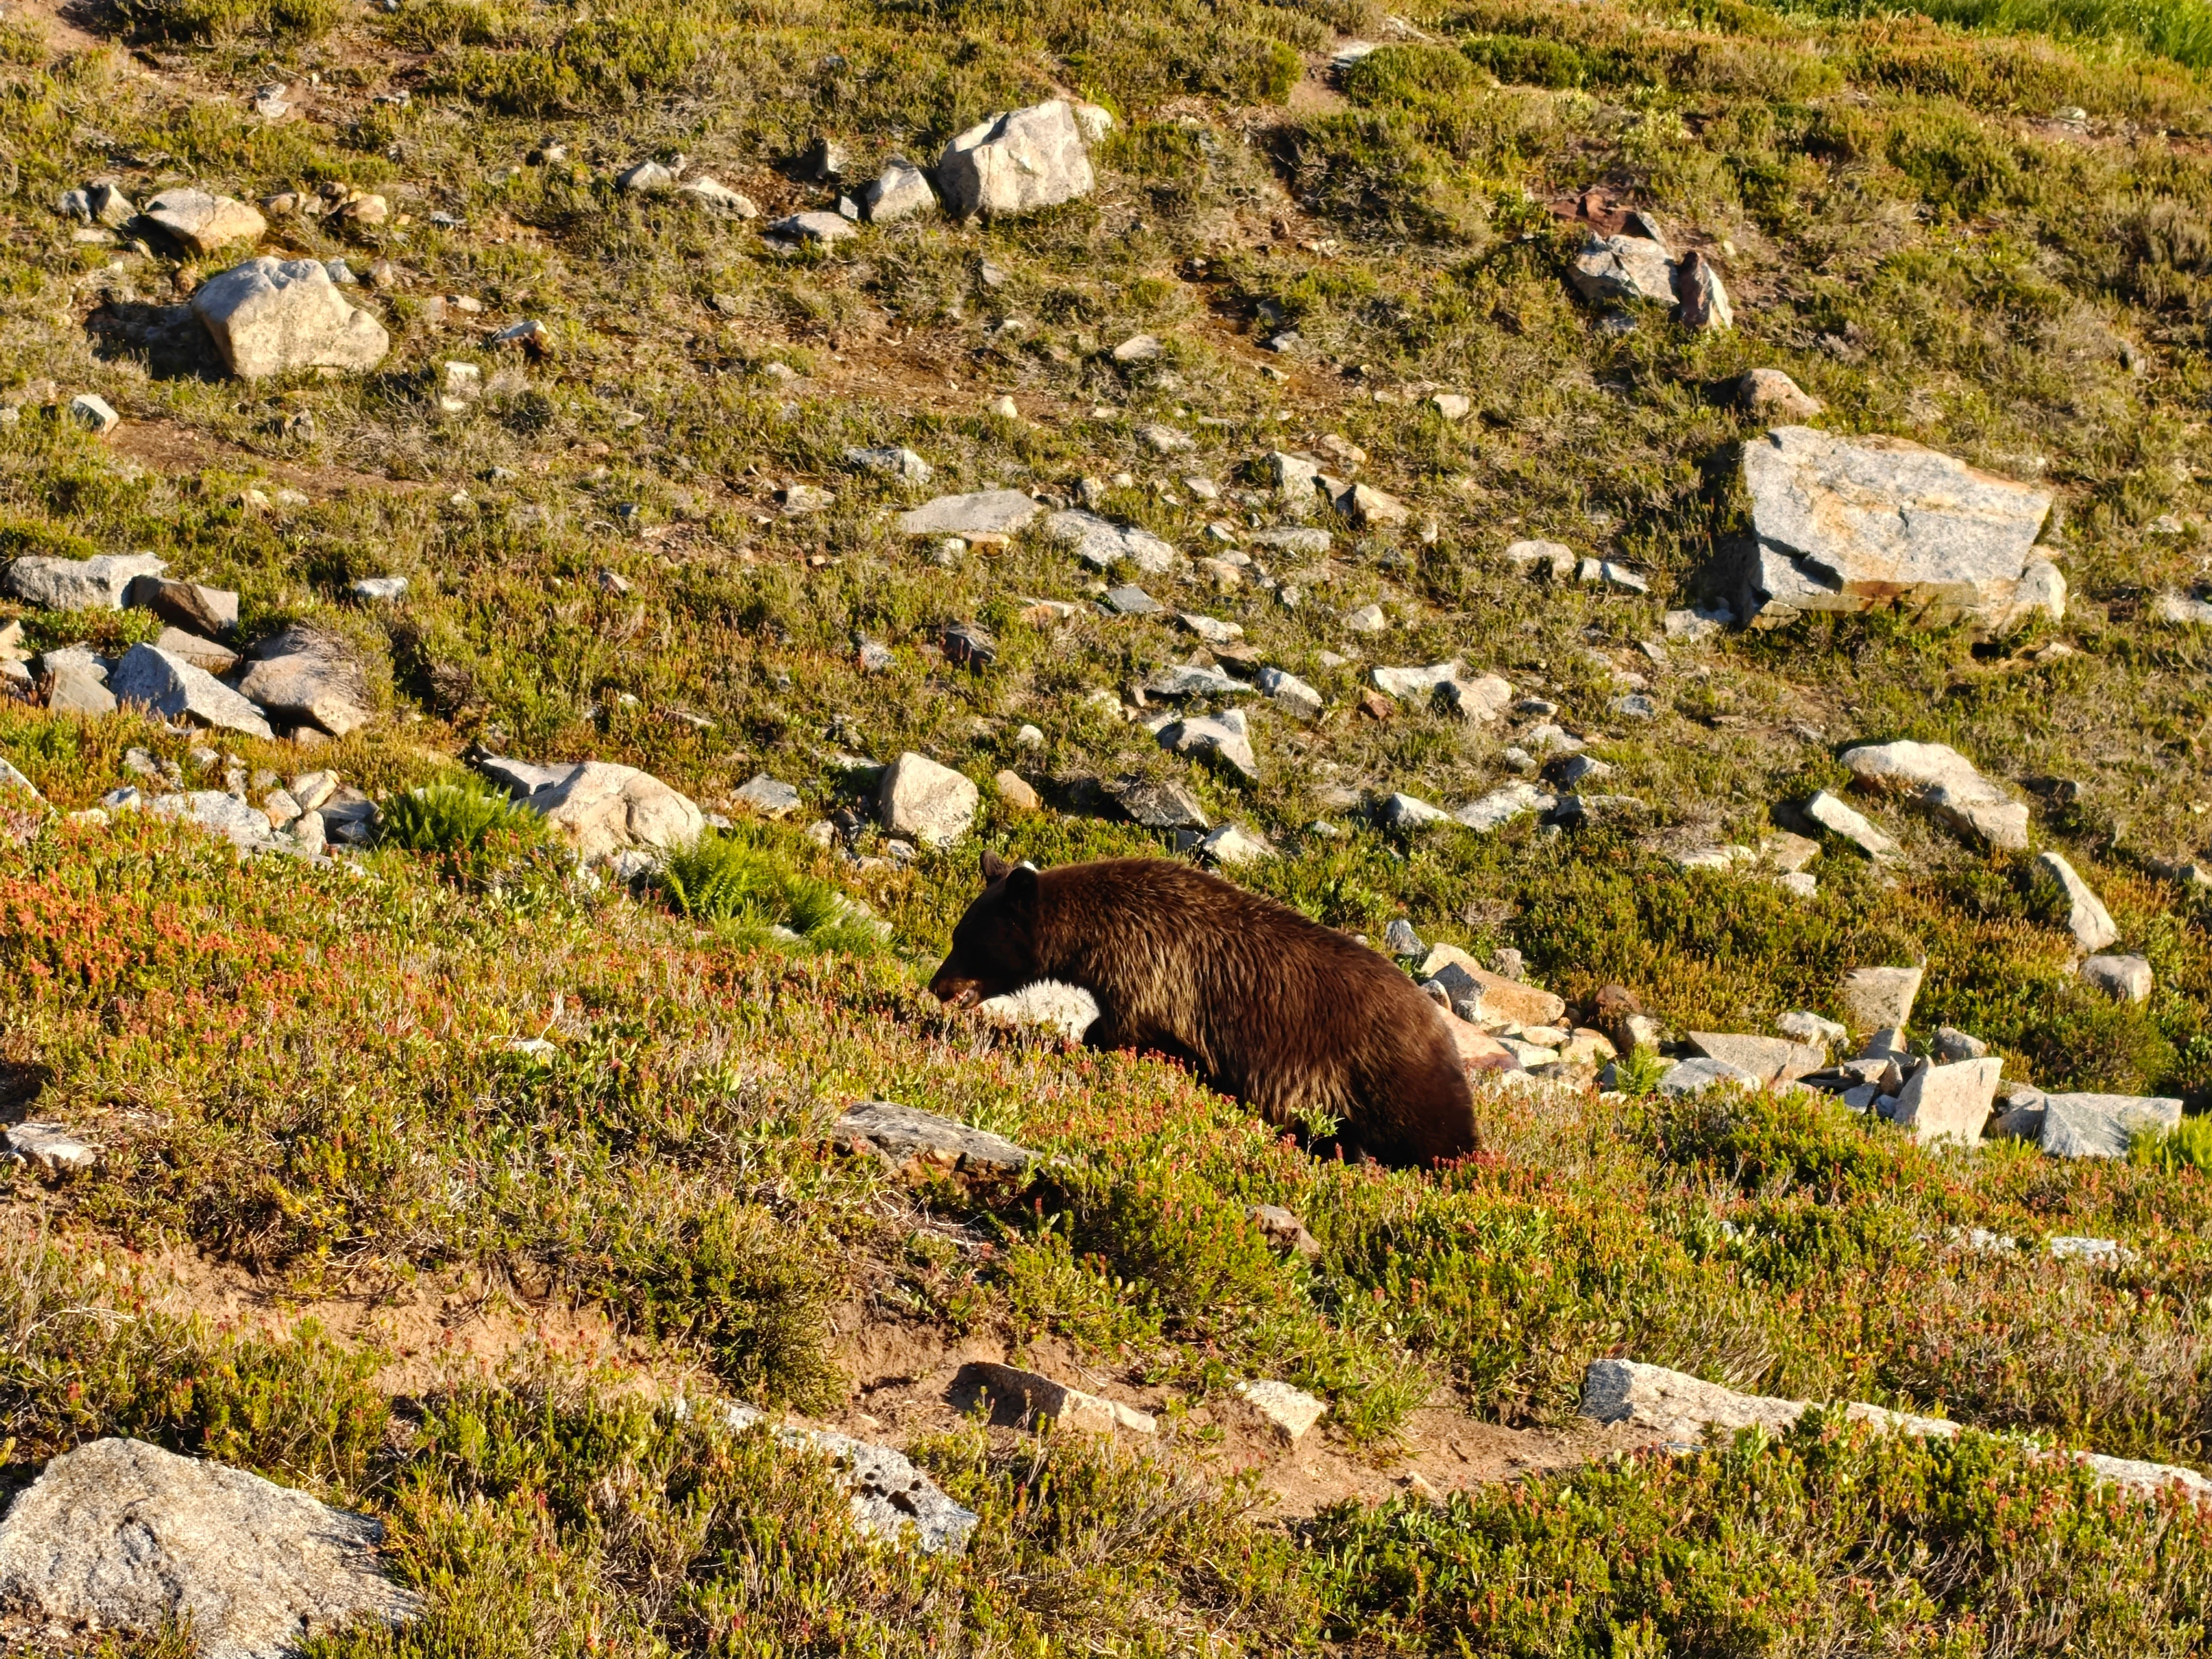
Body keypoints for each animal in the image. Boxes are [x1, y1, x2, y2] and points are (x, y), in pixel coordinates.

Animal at [929, 851, 1480, 1167]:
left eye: (965, 940)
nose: (937, 985)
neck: (1096, 938)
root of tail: (1442, 1026)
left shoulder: (1154, 970)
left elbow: (1130, 1031)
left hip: (1391, 1075)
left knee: (1438, 1139)